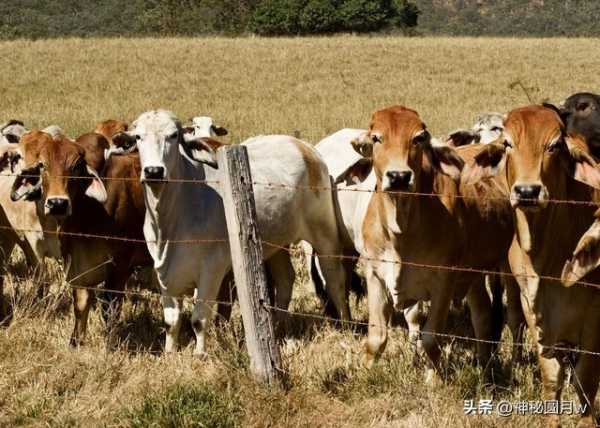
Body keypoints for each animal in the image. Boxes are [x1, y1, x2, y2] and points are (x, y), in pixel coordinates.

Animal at [129, 110, 350, 354]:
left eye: (173, 135)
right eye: (138, 137)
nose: (154, 171)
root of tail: (306, 148)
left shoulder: (212, 268)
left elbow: (199, 319)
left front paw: (200, 354)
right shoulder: (164, 274)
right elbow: (171, 321)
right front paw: (170, 352)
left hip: (324, 233)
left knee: (335, 279)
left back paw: (346, 326)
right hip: (277, 244)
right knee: (286, 279)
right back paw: (279, 327)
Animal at [466, 104, 600, 428]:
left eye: (554, 145)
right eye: (508, 143)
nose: (527, 191)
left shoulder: (594, 317)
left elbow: (587, 381)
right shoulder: (534, 308)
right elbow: (552, 379)